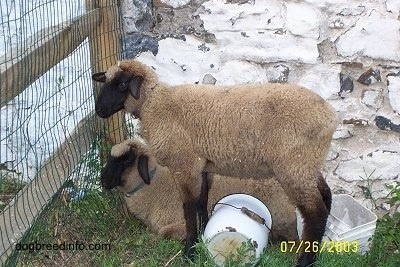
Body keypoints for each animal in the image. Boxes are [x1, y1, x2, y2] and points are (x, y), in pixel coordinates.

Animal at [93, 60, 338, 267]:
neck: (156, 104)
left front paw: (189, 252)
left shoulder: (184, 164)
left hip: (293, 165)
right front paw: (201, 239)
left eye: (122, 83)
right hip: (308, 163)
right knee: (326, 196)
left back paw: (305, 261)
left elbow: (189, 208)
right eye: (106, 81)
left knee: (315, 212)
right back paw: (316, 252)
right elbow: (202, 203)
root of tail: (330, 116)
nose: (99, 111)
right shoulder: (202, 166)